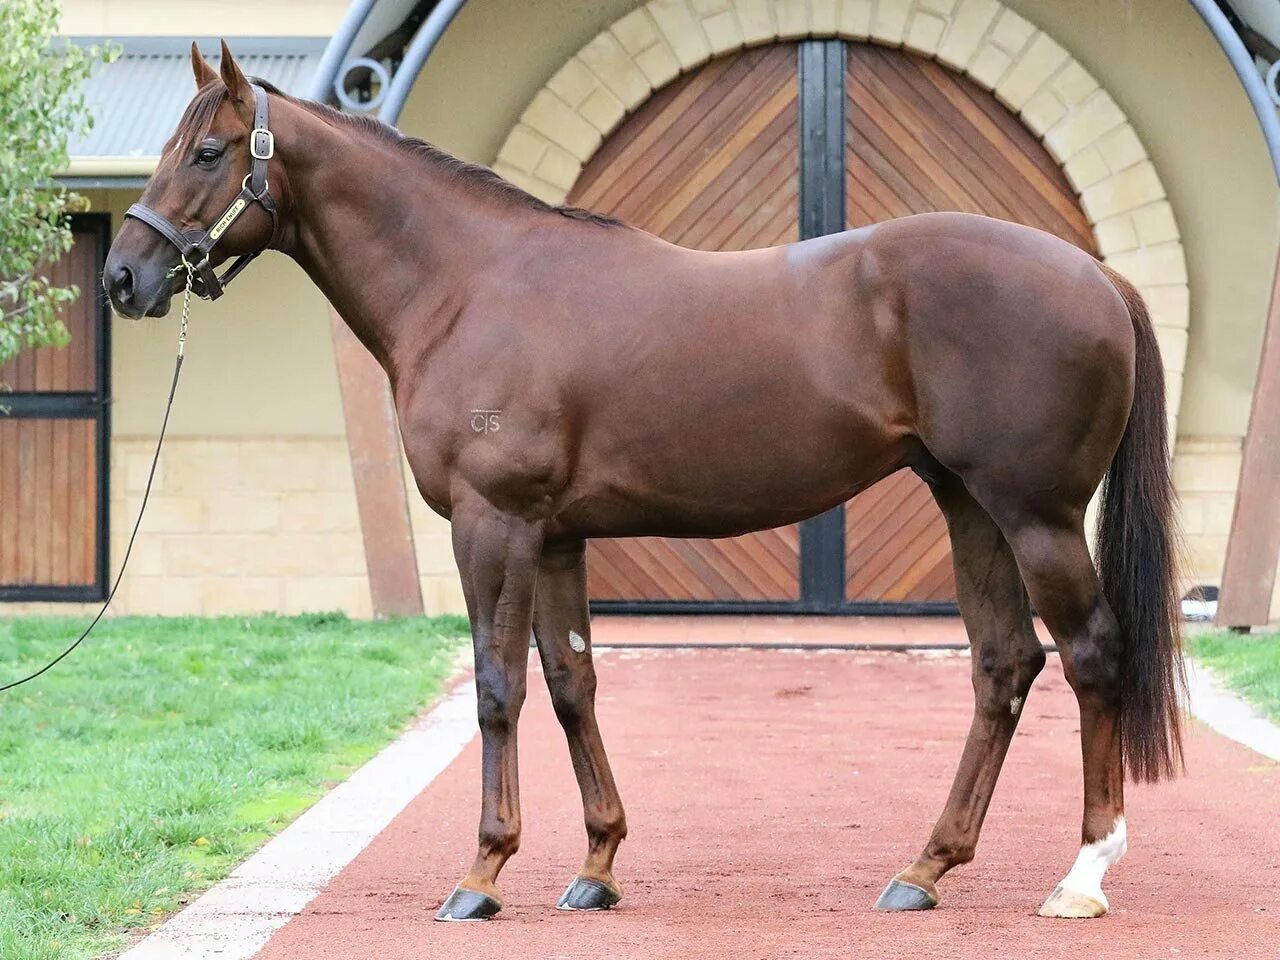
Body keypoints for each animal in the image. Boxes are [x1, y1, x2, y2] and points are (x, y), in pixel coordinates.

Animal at [104, 43, 1182, 926]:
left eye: (210, 153)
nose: (123, 277)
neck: (470, 284)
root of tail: (1095, 275)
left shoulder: (493, 525)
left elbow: (497, 686)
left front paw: (482, 874)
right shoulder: (556, 535)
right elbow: (571, 681)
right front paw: (596, 867)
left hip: (1035, 516)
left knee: (1090, 655)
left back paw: (1081, 877)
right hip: (969, 507)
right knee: (1003, 664)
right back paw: (924, 868)